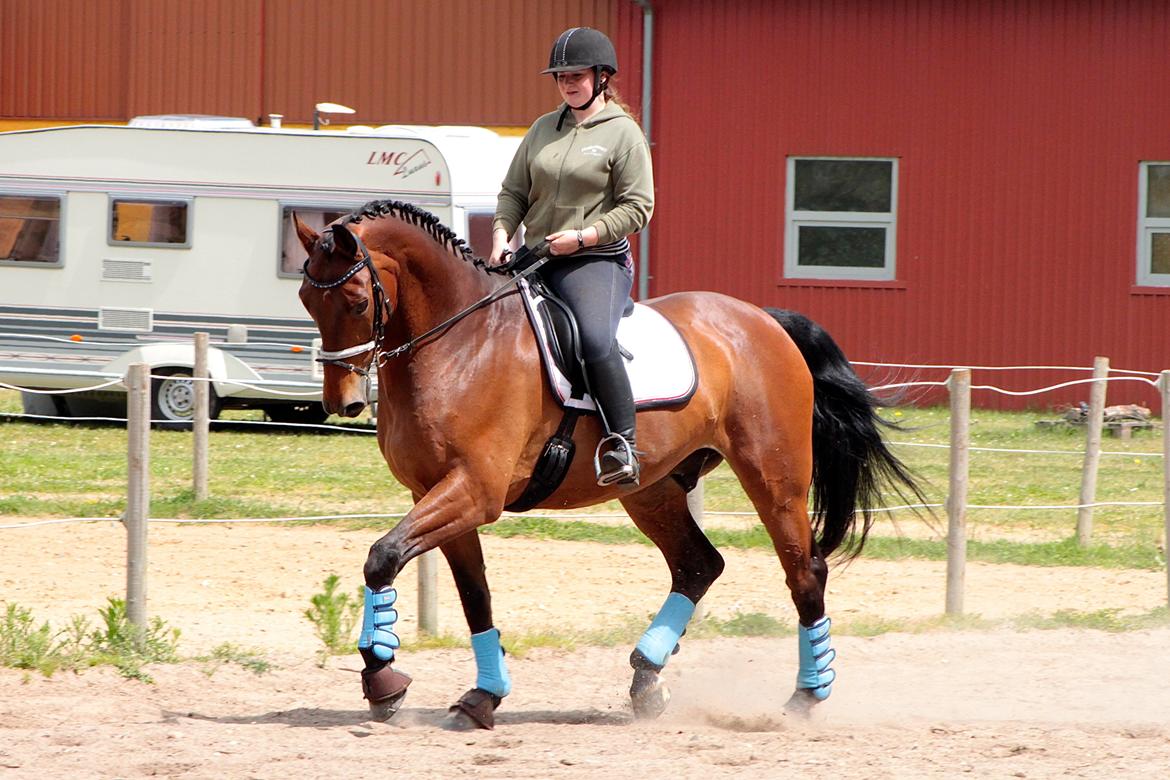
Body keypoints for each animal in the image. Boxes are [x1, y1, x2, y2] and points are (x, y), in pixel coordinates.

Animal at [294, 198, 921, 729]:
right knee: (698, 565)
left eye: (356, 302)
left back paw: (805, 697)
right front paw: (481, 697)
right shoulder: (436, 493)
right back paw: (647, 681)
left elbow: (382, 557)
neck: (459, 340)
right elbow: (473, 594)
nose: (343, 403)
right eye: (306, 299)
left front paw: (382, 680)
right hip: (653, 488)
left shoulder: (474, 491)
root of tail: (762, 320)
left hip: (773, 478)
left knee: (803, 572)